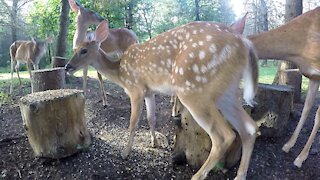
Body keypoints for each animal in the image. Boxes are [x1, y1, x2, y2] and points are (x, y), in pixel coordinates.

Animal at [66, 19, 258, 179]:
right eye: (74, 49)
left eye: (83, 50)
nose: (68, 66)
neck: (120, 73)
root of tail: (245, 44)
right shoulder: (149, 92)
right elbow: (151, 117)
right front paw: (154, 142)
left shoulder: (136, 89)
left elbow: (133, 122)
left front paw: (125, 153)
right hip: (226, 92)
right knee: (249, 128)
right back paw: (240, 176)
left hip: (193, 89)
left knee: (224, 135)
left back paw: (197, 176)